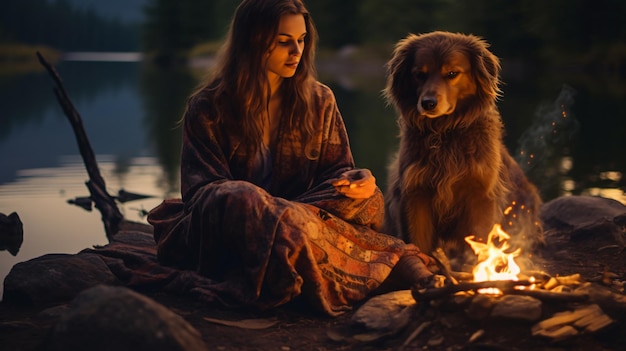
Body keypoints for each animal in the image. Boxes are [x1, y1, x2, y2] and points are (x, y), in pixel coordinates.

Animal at [380, 31, 540, 262]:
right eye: (420, 74)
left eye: (452, 73)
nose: (428, 103)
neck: (445, 132)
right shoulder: (416, 192)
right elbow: (418, 241)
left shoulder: (480, 194)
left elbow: (480, 240)